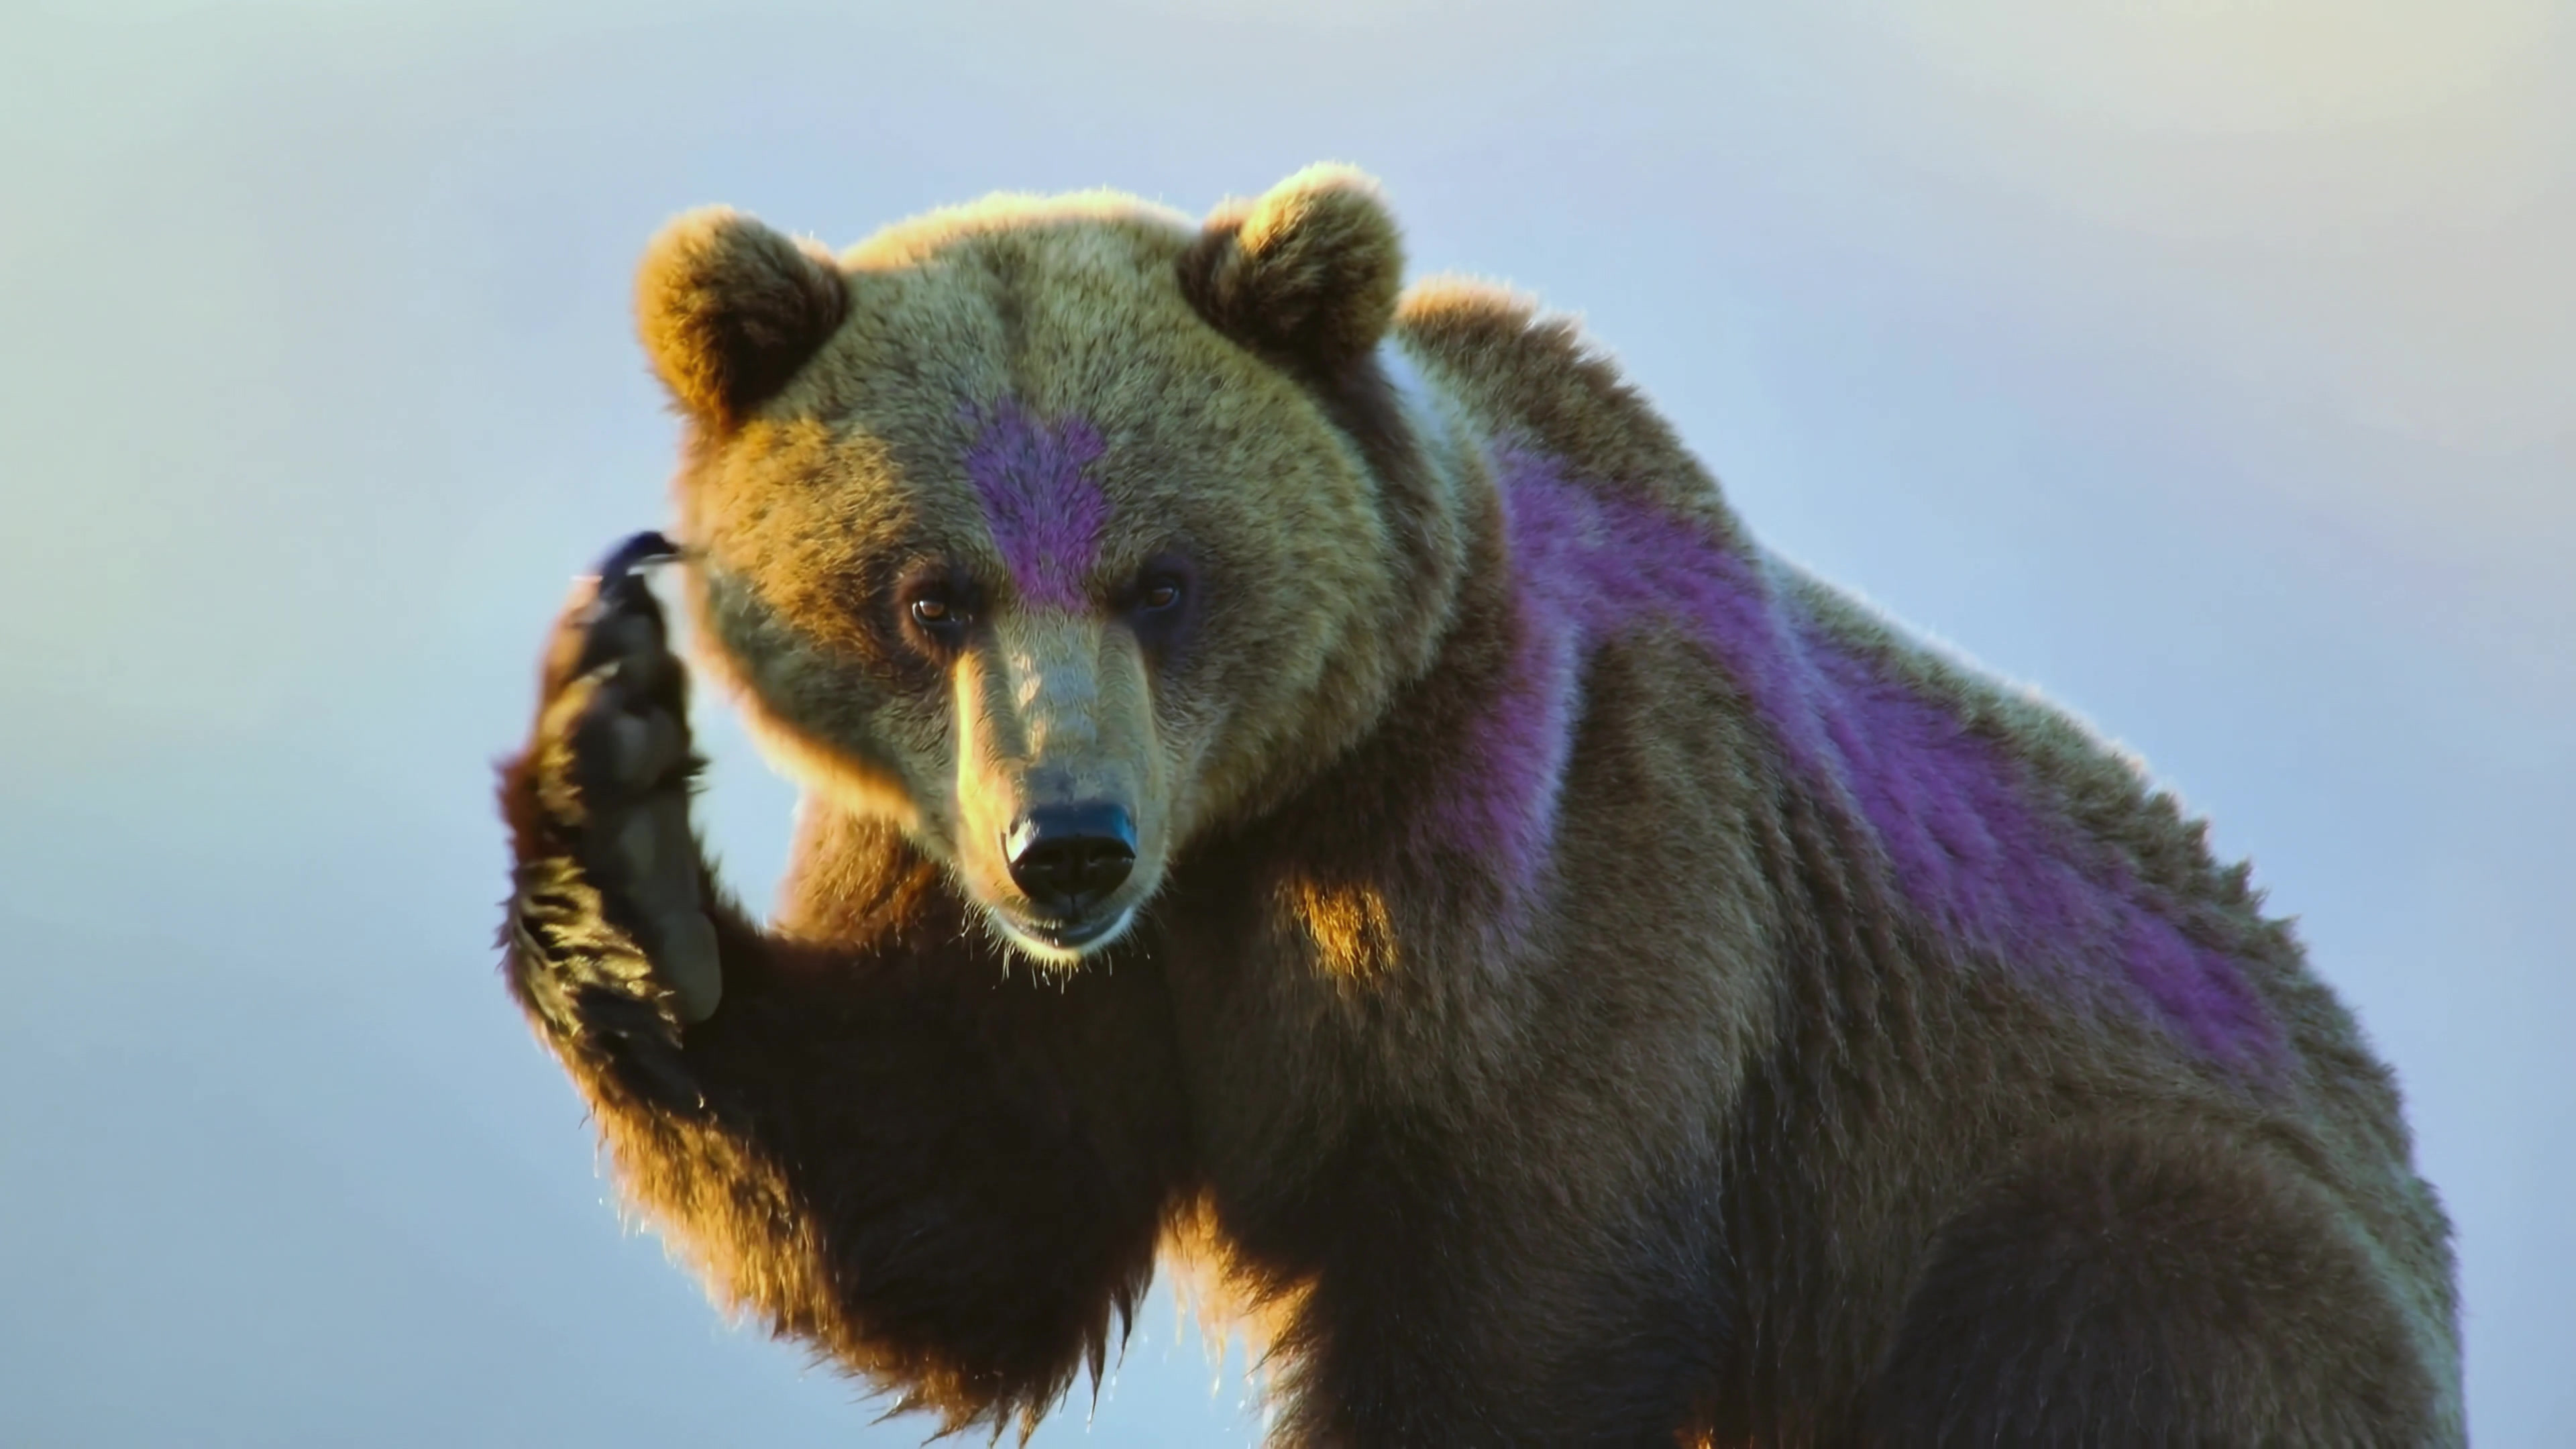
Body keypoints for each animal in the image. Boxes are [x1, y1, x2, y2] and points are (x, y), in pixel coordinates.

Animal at [496, 165, 2463, 1446]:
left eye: (1164, 581)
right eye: (929, 595)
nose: (1069, 844)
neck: (1262, 816)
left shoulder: (1577, 849)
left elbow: (1517, 1276)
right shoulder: (1009, 908)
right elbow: (966, 1206)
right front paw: (625, 806)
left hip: (2116, 1227)